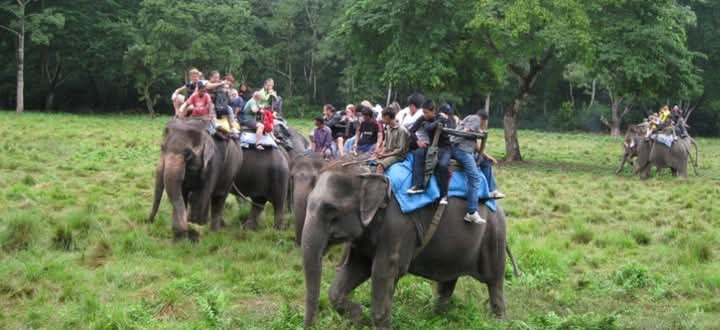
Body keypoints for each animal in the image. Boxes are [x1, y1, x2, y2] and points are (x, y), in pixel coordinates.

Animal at [300, 161, 510, 328]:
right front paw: (358, 317)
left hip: (493, 237)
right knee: (448, 280)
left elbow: (384, 271)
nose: (312, 325)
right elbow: (356, 269)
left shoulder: (398, 226)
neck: (369, 173)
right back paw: (436, 317)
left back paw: (499, 322)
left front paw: (371, 321)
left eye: (331, 210)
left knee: (494, 281)